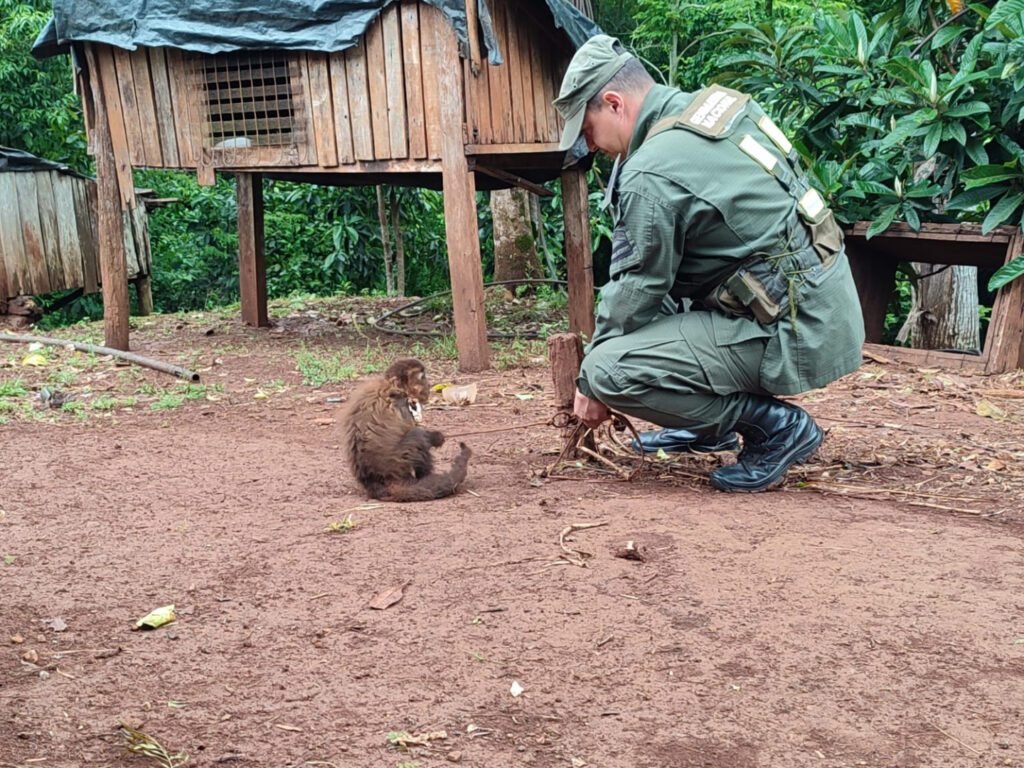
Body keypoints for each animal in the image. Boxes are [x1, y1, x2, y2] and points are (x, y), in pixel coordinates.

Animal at [340, 358, 472, 502]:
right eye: (422, 377)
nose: (428, 384)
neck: (393, 387)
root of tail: (376, 482)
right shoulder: (402, 404)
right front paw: (436, 437)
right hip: (399, 464)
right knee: (417, 436)